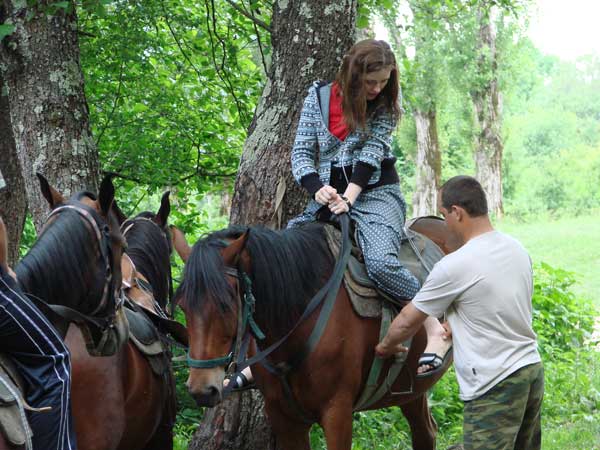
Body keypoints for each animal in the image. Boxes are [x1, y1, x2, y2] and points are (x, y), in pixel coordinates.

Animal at [173, 215, 454, 450]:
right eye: (183, 306)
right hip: (412, 388)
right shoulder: (284, 418)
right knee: (426, 432)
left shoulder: (337, 412)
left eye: (225, 305)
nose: (201, 390)